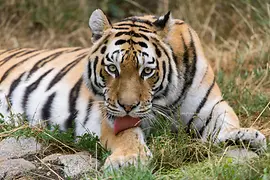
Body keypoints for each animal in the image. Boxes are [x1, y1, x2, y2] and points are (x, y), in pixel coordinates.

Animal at [0, 8, 266, 169]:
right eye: (112, 68)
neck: (166, 102)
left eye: (146, 71)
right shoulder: (109, 117)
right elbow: (128, 134)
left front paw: (245, 136)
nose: (127, 106)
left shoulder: (212, 105)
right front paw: (128, 160)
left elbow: (226, 121)